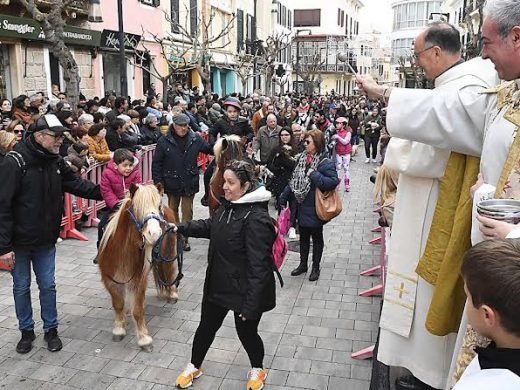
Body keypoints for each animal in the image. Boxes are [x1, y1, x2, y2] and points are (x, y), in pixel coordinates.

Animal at [97, 184, 179, 352]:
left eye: (158, 206)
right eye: (136, 208)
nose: (154, 234)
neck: (121, 252)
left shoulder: (139, 281)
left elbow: (138, 310)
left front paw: (144, 339)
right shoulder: (110, 281)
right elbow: (118, 304)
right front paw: (119, 328)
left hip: (169, 254)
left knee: (170, 271)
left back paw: (172, 293)